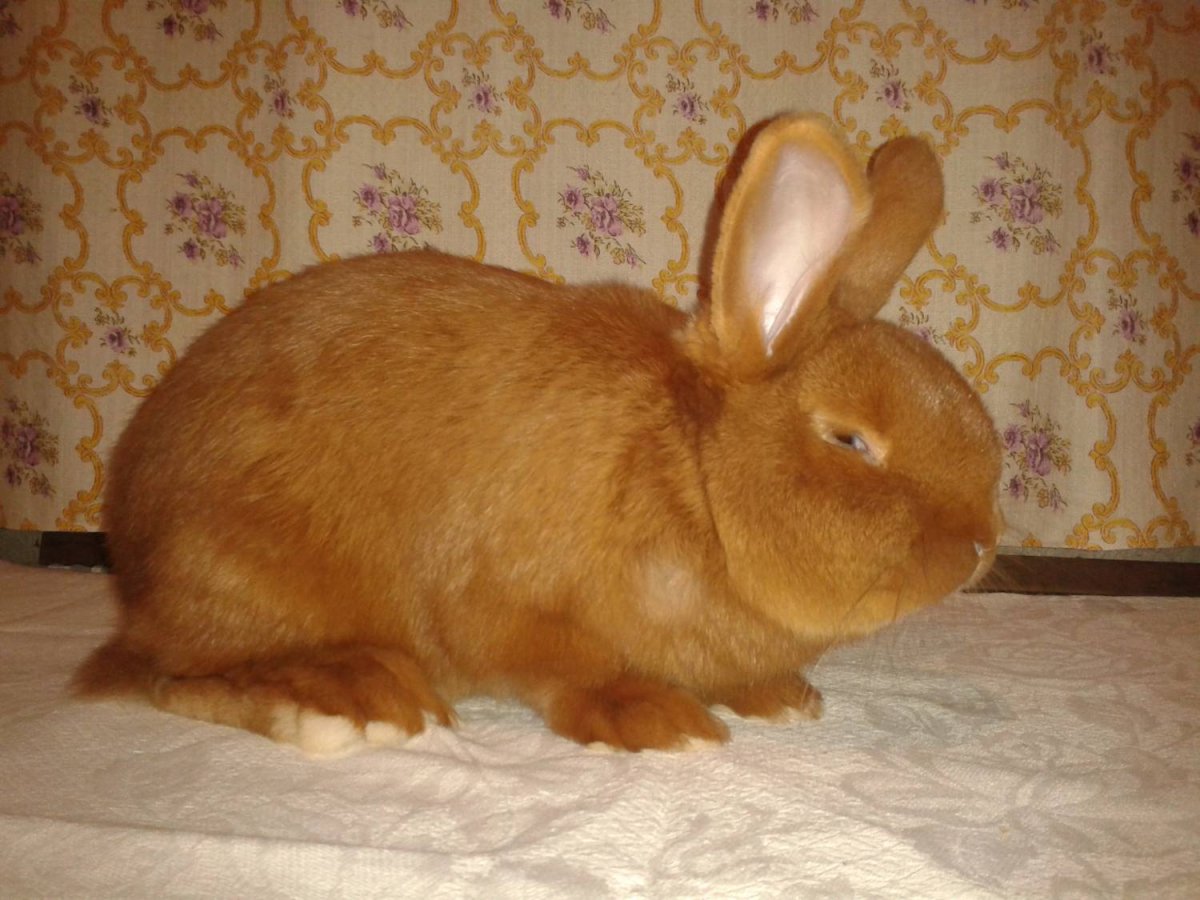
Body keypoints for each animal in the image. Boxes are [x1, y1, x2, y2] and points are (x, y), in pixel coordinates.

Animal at [73, 113, 1003, 755]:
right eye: (849, 442)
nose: (982, 547)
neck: (694, 477)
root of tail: (136, 567)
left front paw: (781, 697)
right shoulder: (508, 605)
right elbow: (571, 674)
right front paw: (658, 720)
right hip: (239, 571)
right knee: (168, 678)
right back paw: (350, 704)